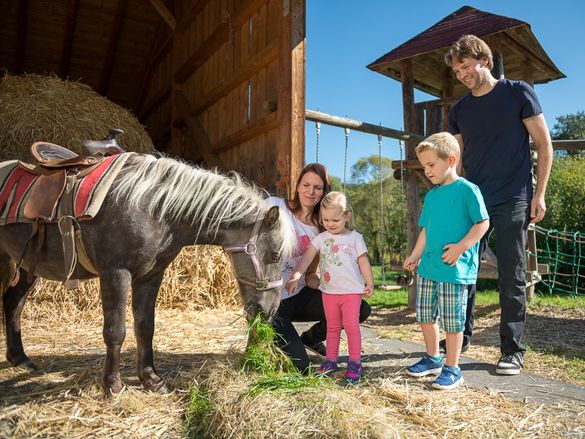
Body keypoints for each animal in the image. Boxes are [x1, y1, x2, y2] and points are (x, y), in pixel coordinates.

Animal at [1, 155, 296, 396]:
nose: (270, 311)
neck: (152, 208)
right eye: (275, 255)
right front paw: (113, 385)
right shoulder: (116, 273)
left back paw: (20, 359)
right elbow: (115, 331)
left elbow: (145, 327)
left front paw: (151, 380)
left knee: (13, 303)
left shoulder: (150, 276)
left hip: (27, 266)